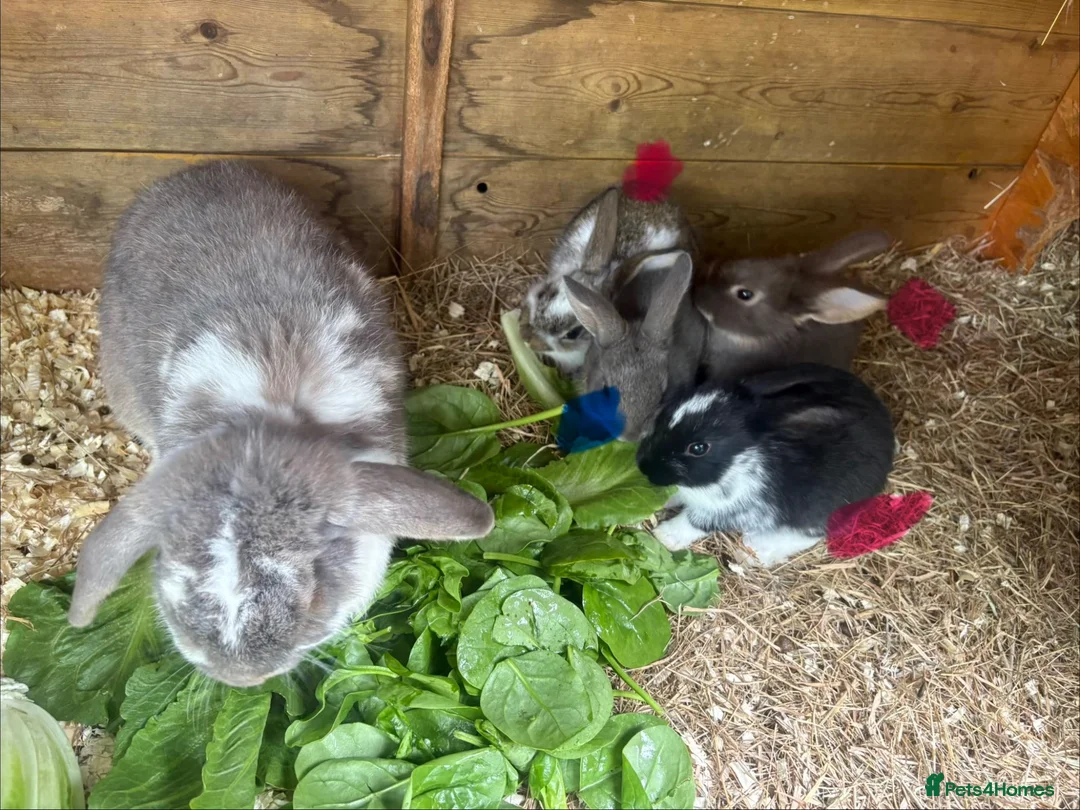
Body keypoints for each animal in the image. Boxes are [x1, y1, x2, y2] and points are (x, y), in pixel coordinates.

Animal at [635, 363, 895, 567]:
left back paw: (752, 553)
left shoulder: (734, 509)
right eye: (665, 416)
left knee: (807, 535)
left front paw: (665, 536)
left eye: (698, 448)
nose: (644, 467)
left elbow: (695, 522)